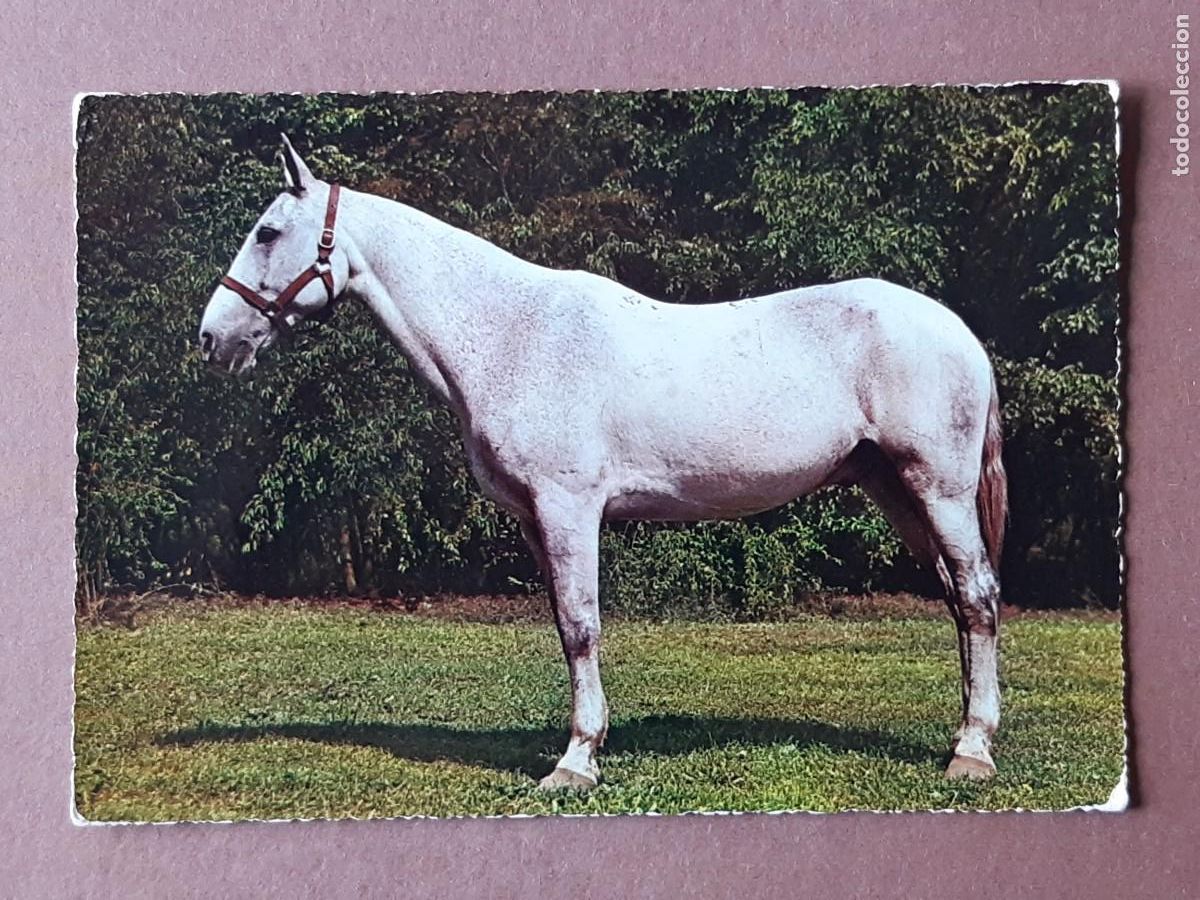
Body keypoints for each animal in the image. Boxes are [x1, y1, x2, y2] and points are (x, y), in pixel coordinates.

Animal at [199, 136, 1008, 789]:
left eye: (268, 231)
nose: (213, 338)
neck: (511, 333)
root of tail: (957, 330)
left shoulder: (569, 509)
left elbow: (582, 626)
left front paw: (575, 763)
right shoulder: (536, 519)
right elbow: (565, 625)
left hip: (938, 488)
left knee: (977, 597)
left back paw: (971, 753)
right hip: (895, 489)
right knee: (956, 602)